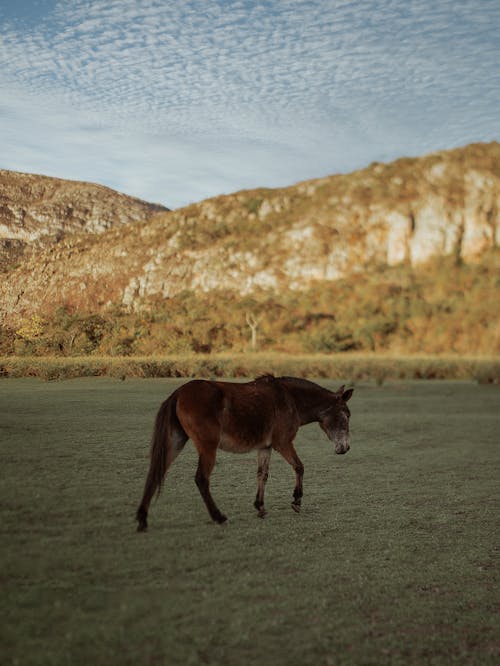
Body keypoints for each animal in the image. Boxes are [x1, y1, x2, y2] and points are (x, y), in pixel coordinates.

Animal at [135, 370, 354, 528]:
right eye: (346, 415)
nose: (345, 448)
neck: (290, 398)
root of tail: (179, 393)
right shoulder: (282, 443)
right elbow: (299, 467)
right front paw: (296, 501)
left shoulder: (265, 447)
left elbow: (262, 475)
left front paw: (260, 507)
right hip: (207, 447)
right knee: (201, 479)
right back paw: (218, 517)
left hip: (176, 441)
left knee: (155, 473)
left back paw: (142, 518)